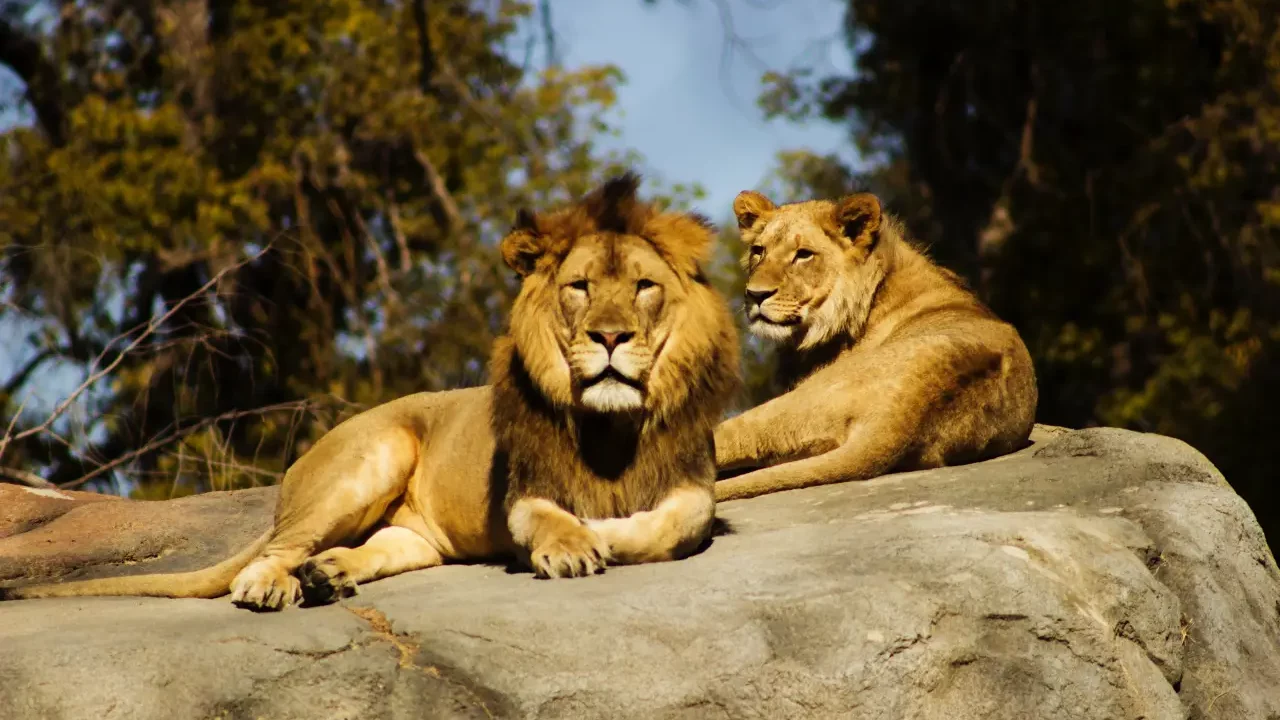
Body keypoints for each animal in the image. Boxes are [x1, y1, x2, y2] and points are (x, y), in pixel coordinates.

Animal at [0, 173, 740, 611]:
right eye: (580, 287)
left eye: (644, 287)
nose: (610, 336)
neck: (613, 424)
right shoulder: (524, 491)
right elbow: (551, 517)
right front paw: (576, 541)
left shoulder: (693, 486)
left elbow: (673, 523)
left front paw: (608, 532)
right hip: (370, 459)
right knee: (268, 555)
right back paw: (273, 585)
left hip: (414, 536)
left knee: (376, 547)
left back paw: (328, 574)